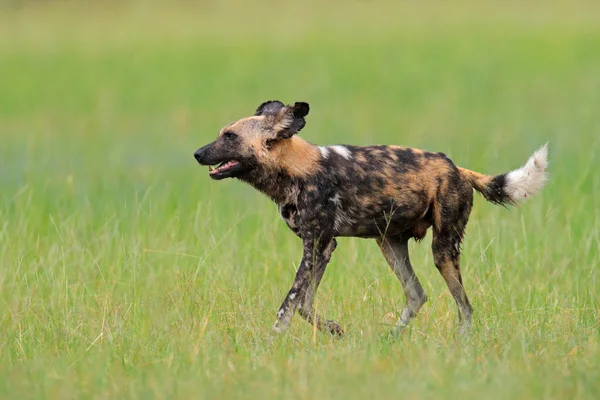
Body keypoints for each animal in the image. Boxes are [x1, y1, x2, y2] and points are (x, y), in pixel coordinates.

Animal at [195, 100, 552, 334]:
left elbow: (289, 304)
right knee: (417, 294)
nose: (198, 153)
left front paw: (270, 345)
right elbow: (304, 305)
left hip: (443, 250)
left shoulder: (314, 246)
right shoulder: (324, 247)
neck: (295, 169)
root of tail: (458, 169)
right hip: (389, 244)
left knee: (464, 308)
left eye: (230, 136)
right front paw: (333, 329)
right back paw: (390, 340)